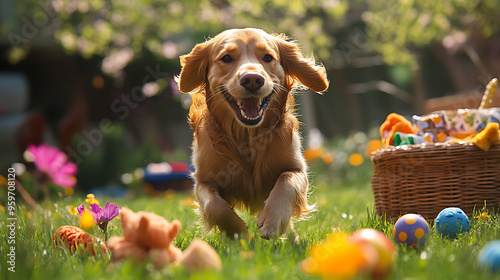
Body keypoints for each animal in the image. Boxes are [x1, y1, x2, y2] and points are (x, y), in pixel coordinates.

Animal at [176, 27, 328, 238]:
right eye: (226, 58)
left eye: (268, 57)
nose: (252, 79)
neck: (247, 136)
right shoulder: (203, 180)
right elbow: (214, 205)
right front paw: (237, 231)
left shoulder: (296, 168)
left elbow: (287, 180)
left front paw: (272, 221)